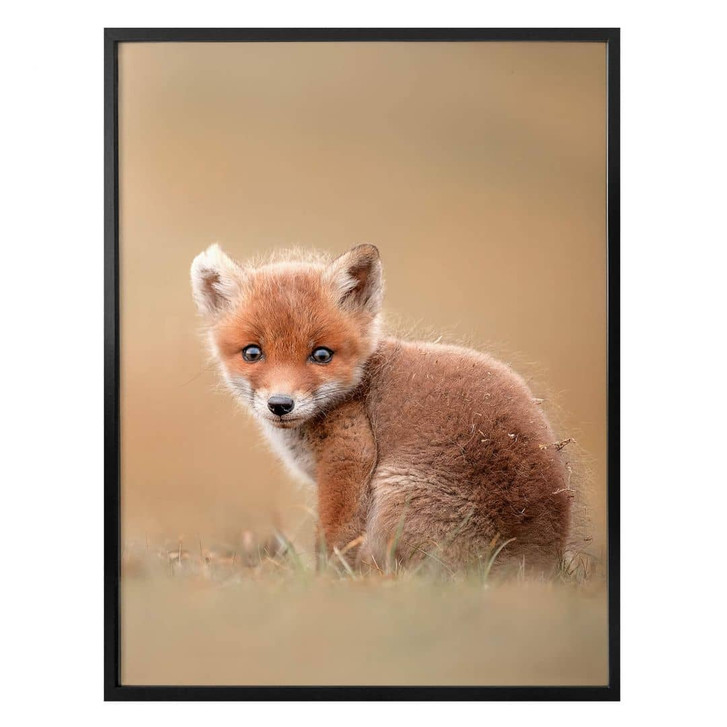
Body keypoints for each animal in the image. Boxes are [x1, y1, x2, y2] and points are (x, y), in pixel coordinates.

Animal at [191, 243, 580, 575]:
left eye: (322, 355)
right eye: (252, 353)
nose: (281, 404)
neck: (357, 388)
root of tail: (538, 563)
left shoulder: (349, 457)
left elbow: (334, 540)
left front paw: (325, 584)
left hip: (395, 495)